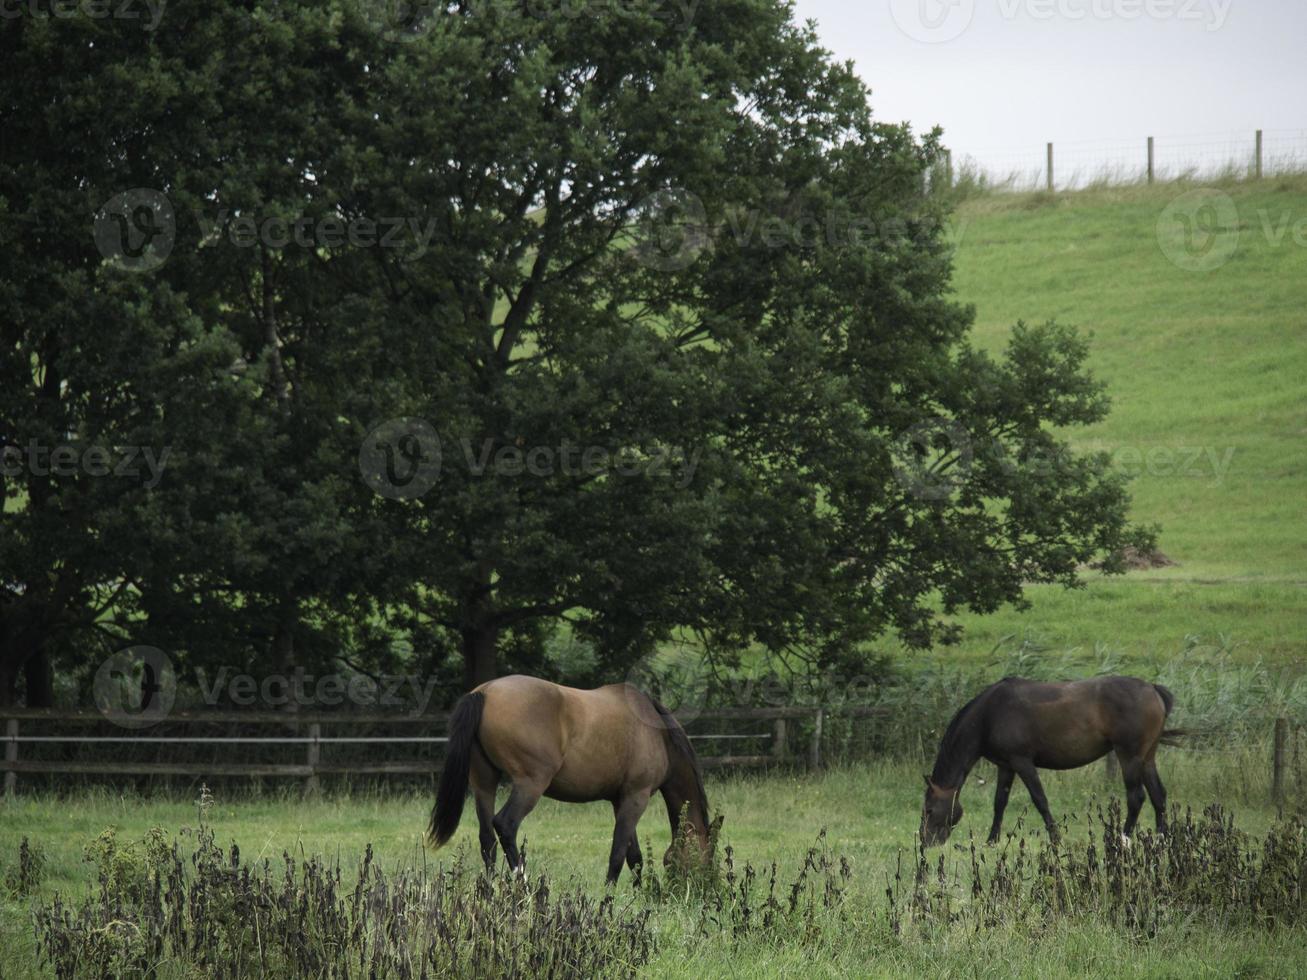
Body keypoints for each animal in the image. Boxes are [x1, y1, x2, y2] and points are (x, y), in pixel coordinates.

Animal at [426, 679, 716, 888]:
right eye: (708, 856)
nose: (705, 887)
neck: (656, 732)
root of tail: (485, 692)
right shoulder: (637, 796)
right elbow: (618, 852)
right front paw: (609, 895)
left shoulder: (621, 800)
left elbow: (634, 856)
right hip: (531, 784)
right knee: (505, 825)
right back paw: (525, 886)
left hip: (484, 784)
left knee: (487, 839)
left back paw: (489, 889)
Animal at [920, 679, 1186, 846]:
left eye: (929, 810)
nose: (925, 842)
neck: (990, 714)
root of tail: (1152, 689)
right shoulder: (1006, 766)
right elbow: (999, 803)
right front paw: (991, 841)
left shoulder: (1022, 762)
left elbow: (1040, 800)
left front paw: (1056, 838)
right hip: (1147, 757)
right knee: (1158, 795)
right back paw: (1162, 839)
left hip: (1129, 756)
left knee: (1136, 797)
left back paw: (1124, 839)